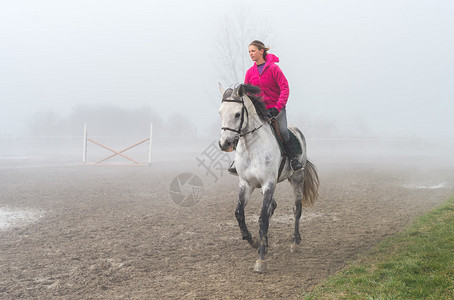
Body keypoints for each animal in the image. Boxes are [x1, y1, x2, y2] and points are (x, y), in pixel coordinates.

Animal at [217, 83, 318, 274]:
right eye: (220, 112)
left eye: (237, 114)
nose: (224, 143)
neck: (251, 148)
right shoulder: (245, 184)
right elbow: (239, 213)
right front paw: (254, 241)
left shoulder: (268, 184)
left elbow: (263, 218)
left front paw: (261, 259)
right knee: (273, 206)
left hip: (297, 178)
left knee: (296, 209)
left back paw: (295, 242)